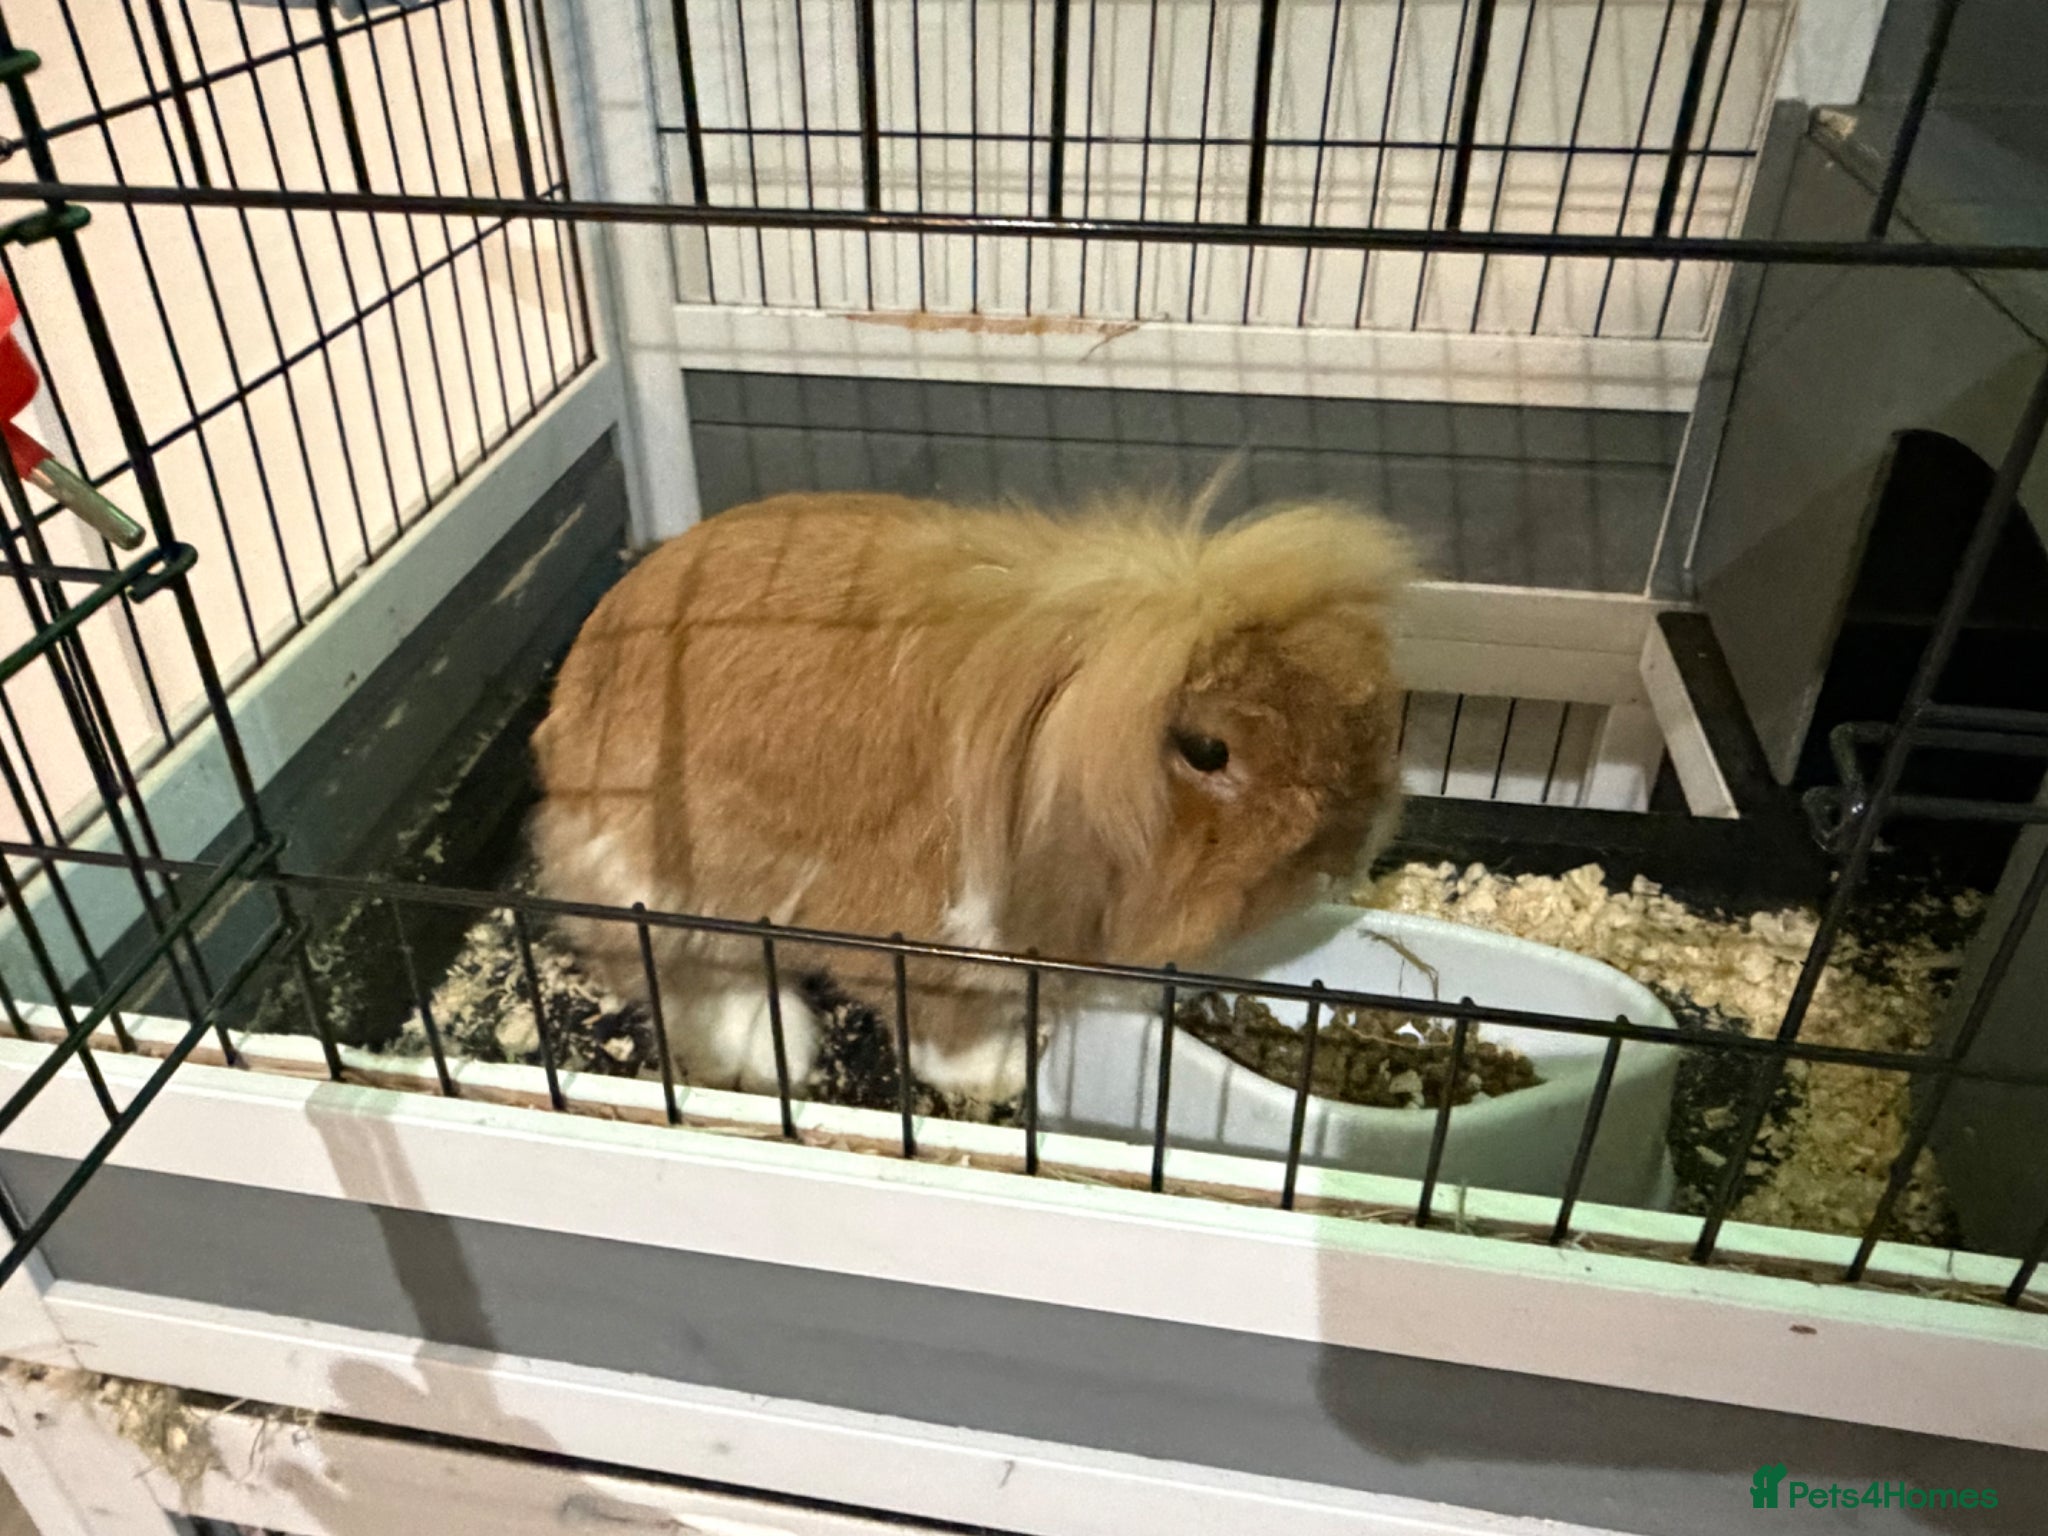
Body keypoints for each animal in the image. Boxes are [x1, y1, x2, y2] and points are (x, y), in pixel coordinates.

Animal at [528, 488, 1411, 1104]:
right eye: (1206, 752)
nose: (1351, 852)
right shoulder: (925, 940)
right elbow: (949, 1028)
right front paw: (1002, 1076)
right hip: (658, 890)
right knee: (687, 979)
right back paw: (770, 1053)